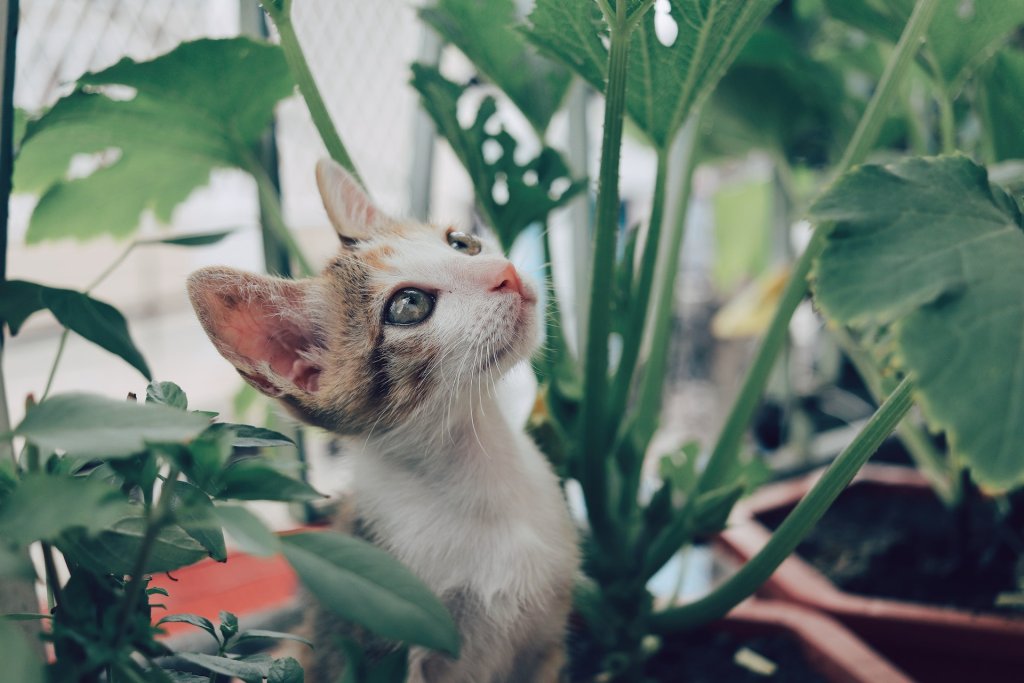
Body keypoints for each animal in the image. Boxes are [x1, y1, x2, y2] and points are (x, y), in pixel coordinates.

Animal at [188, 161, 581, 683]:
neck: (479, 475)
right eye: (409, 305)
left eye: (462, 243)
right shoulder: (389, 643)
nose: (507, 272)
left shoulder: (547, 642)